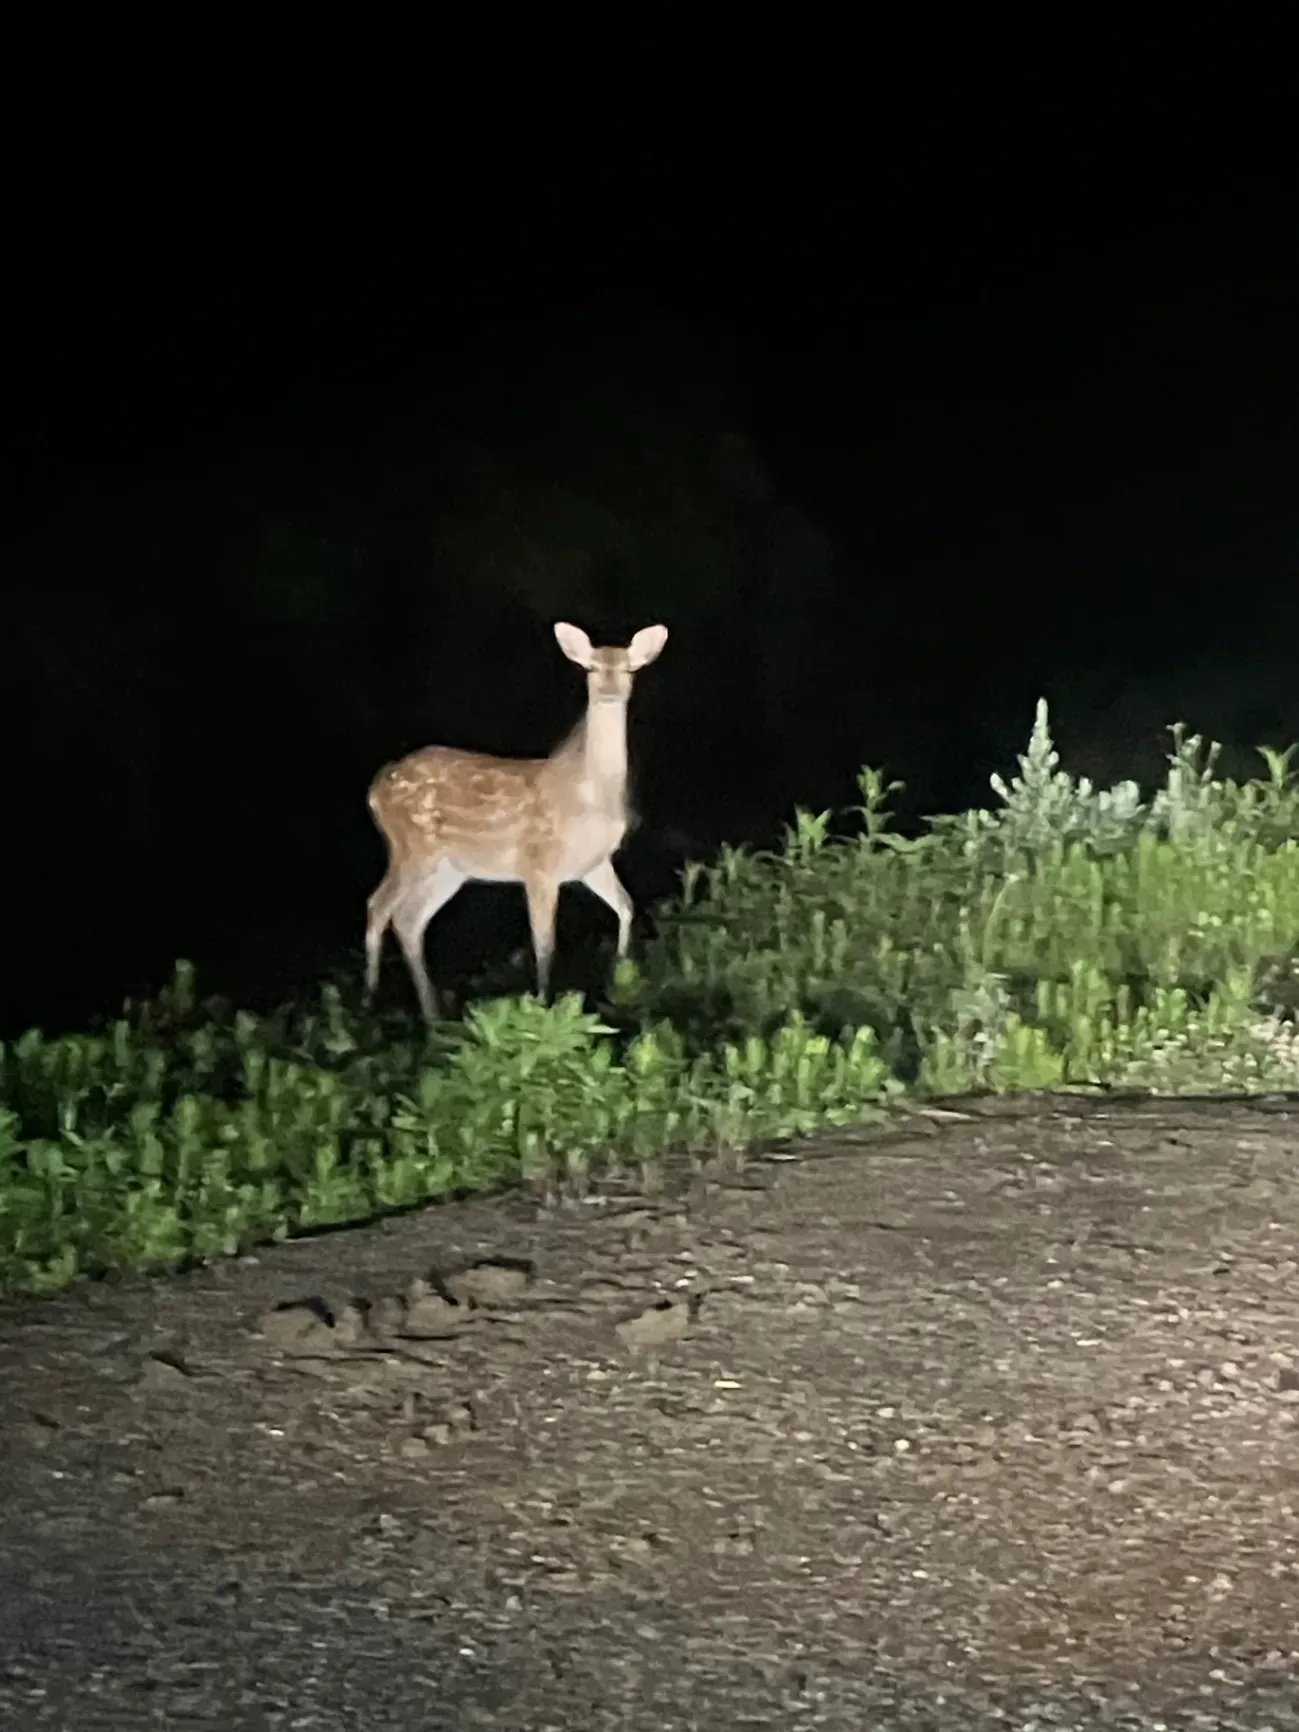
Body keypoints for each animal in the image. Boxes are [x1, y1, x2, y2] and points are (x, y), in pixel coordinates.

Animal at [364, 621, 669, 1021]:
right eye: (590, 668)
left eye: (629, 669)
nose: (609, 690)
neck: (589, 796)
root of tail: (374, 790)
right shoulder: (538, 864)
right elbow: (544, 943)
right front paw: (543, 1005)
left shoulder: (594, 863)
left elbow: (626, 907)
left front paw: (621, 980)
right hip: (411, 849)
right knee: (379, 906)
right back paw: (369, 1004)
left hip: (449, 869)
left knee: (408, 919)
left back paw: (431, 1016)